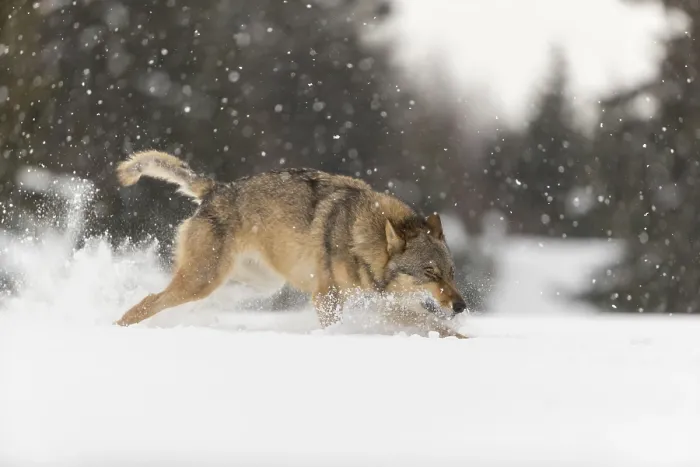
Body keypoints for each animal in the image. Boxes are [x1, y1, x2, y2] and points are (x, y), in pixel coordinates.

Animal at [114, 150, 469, 338]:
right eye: (430, 272)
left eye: (451, 273)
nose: (461, 306)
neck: (361, 240)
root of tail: (216, 188)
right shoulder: (327, 298)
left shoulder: (384, 306)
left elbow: (440, 327)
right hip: (203, 280)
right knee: (149, 300)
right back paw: (116, 327)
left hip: (251, 285)